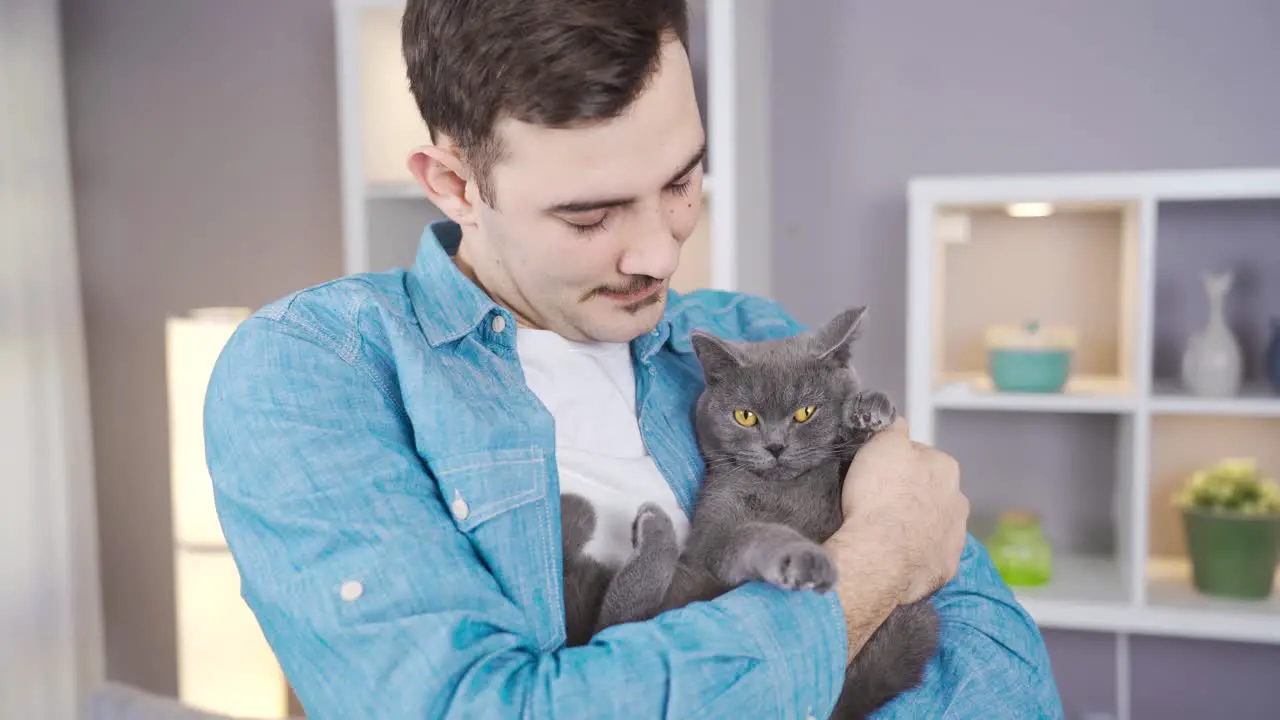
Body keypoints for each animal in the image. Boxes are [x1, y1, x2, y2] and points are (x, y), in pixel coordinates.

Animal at [560, 304, 942, 712]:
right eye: (745, 416)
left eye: (805, 412)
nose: (775, 446)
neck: (785, 487)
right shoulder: (715, 531)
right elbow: (750, 536)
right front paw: (799, 556)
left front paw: (870, 410)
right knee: (619, 628)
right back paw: (644, 526)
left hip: (911, 629)